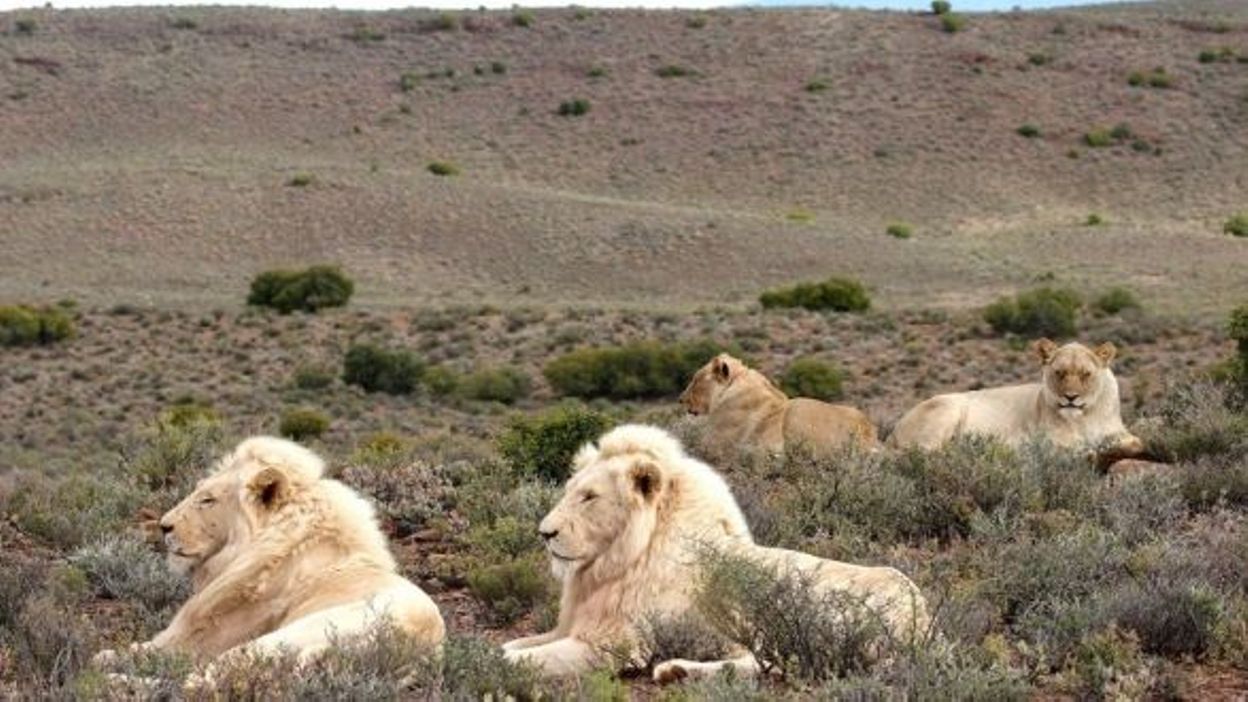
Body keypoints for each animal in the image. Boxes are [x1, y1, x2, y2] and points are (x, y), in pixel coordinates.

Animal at [93, 436, 445, 683]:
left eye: (207, 500)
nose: (164, 526)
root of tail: (410, 646)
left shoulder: (200, 637)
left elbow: (140, 649)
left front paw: (105, 658)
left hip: (289, 634)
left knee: (198, 683)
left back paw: (115, 682)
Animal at [502, 424, 928, 682]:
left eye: (589, 497)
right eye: (570, 490)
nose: (544, 533)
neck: (609, 567)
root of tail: (923, 617)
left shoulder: (619, 643)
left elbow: (514, 658)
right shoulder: (574, 625)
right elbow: (514, 645)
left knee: (769, 661)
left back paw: (675, 670)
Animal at [888, 339, 1145, 460]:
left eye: (1086, 374)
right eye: (1059, 373)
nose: (1070, 397)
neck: (1084, 416)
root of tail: (895, 428)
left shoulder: (1119, 432)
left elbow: (1136, 442)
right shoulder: (1051, 441)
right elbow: (1079, 448)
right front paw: (1095, 451)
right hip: (948, 408)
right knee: (925, 451)